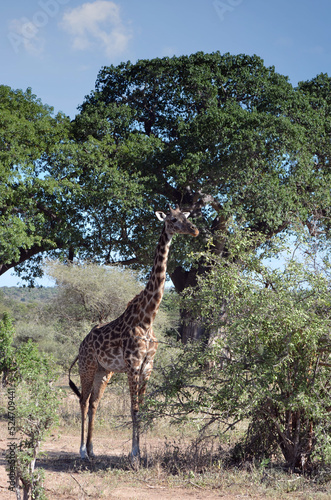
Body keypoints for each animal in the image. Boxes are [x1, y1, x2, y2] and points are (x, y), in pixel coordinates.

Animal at [68, 205, 198, 462]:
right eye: (172, 219)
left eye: (186, 217)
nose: (195, 230)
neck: (147, 318)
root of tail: (81, 345)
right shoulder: (133, 365)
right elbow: (134, 408)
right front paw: (134, 454)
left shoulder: (148, 365)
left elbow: (143, 407)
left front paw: (141, 452)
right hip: (87, 367)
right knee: (83, 401)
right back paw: (82, 452)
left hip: (104, 371)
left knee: (95, 403)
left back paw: (92, 449)